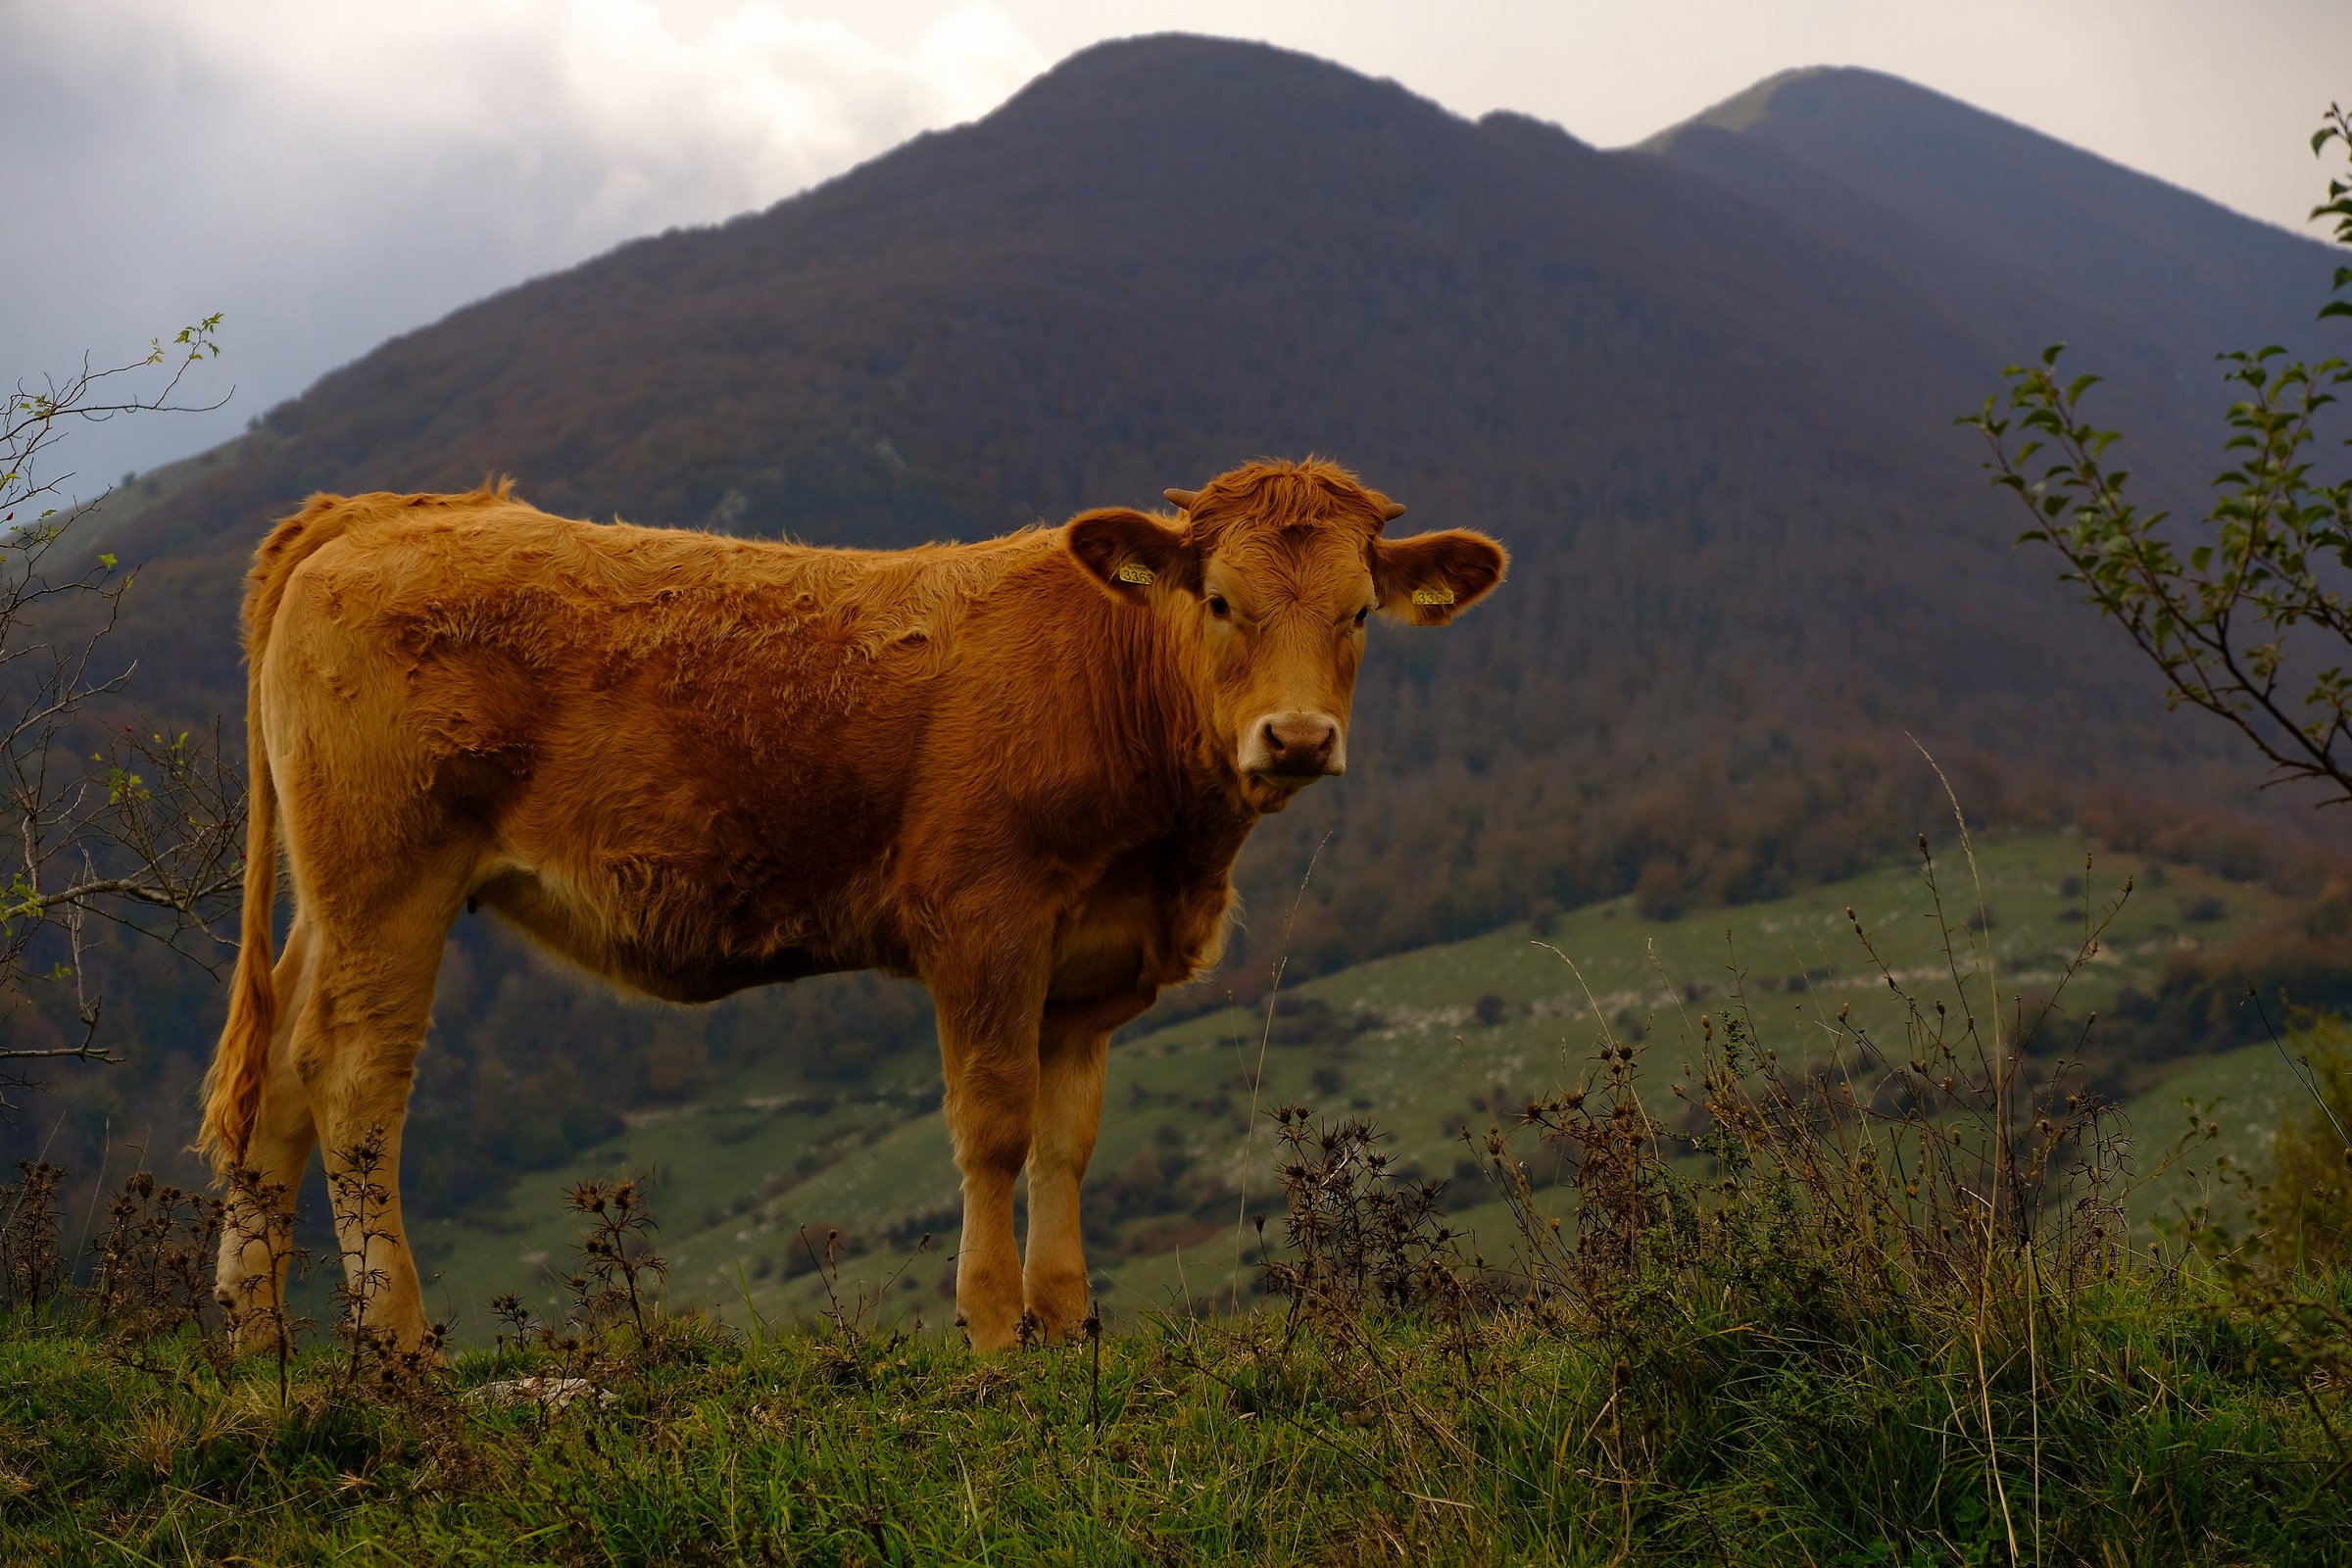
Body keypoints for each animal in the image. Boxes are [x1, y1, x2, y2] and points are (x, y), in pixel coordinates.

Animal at [198, 458, 1506, 1352]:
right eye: (1222, 602)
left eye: (1358, 613)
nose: (1298, 736)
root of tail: (392, 506)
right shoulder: (981, 922)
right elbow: (994, 1130)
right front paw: (992, 1334)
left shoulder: (1087, 970)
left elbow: (1069, 1145)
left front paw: (1068, 1326)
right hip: (391, 872)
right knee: (355, 1084)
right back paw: (399, 1345)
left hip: (334, 894)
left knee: (282, 1078)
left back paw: (255, 1343)